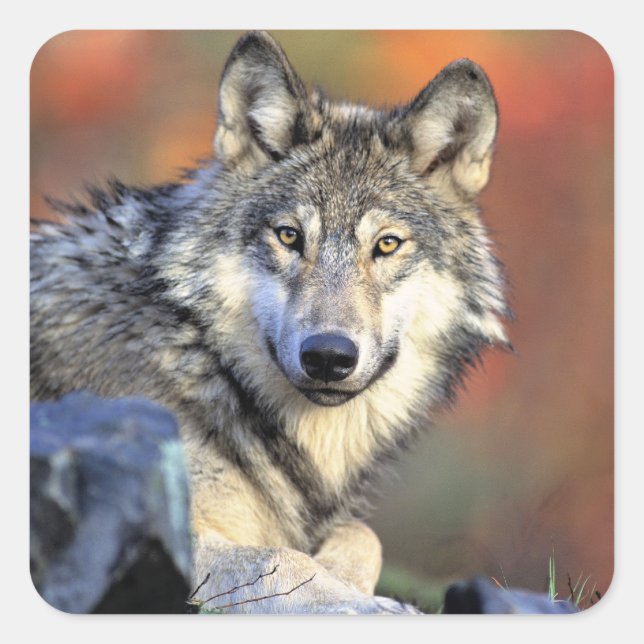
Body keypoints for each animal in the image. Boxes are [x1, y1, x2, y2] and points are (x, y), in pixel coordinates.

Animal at [30, 31, 510, 614]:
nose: (328, 355)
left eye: (387, 245)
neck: (202, 360)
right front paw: (377, 607)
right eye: (288, 236)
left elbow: (362, 535)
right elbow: (281, 561)